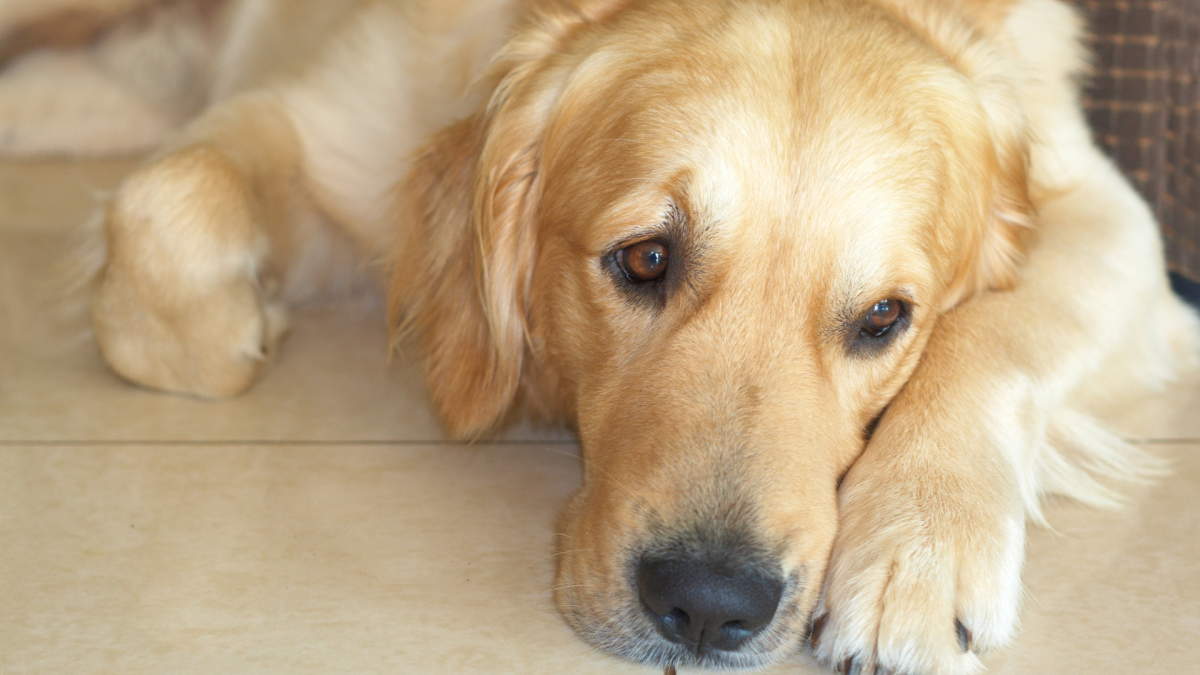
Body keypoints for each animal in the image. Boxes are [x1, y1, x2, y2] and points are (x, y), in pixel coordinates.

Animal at [11, 0, 1200, 667]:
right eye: (644, 260)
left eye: (882, 319)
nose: (710, 610)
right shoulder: (326, 120)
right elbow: (163, 217)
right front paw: (246, 314)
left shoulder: (1120, 225)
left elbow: (993, 336)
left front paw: (918, 549)